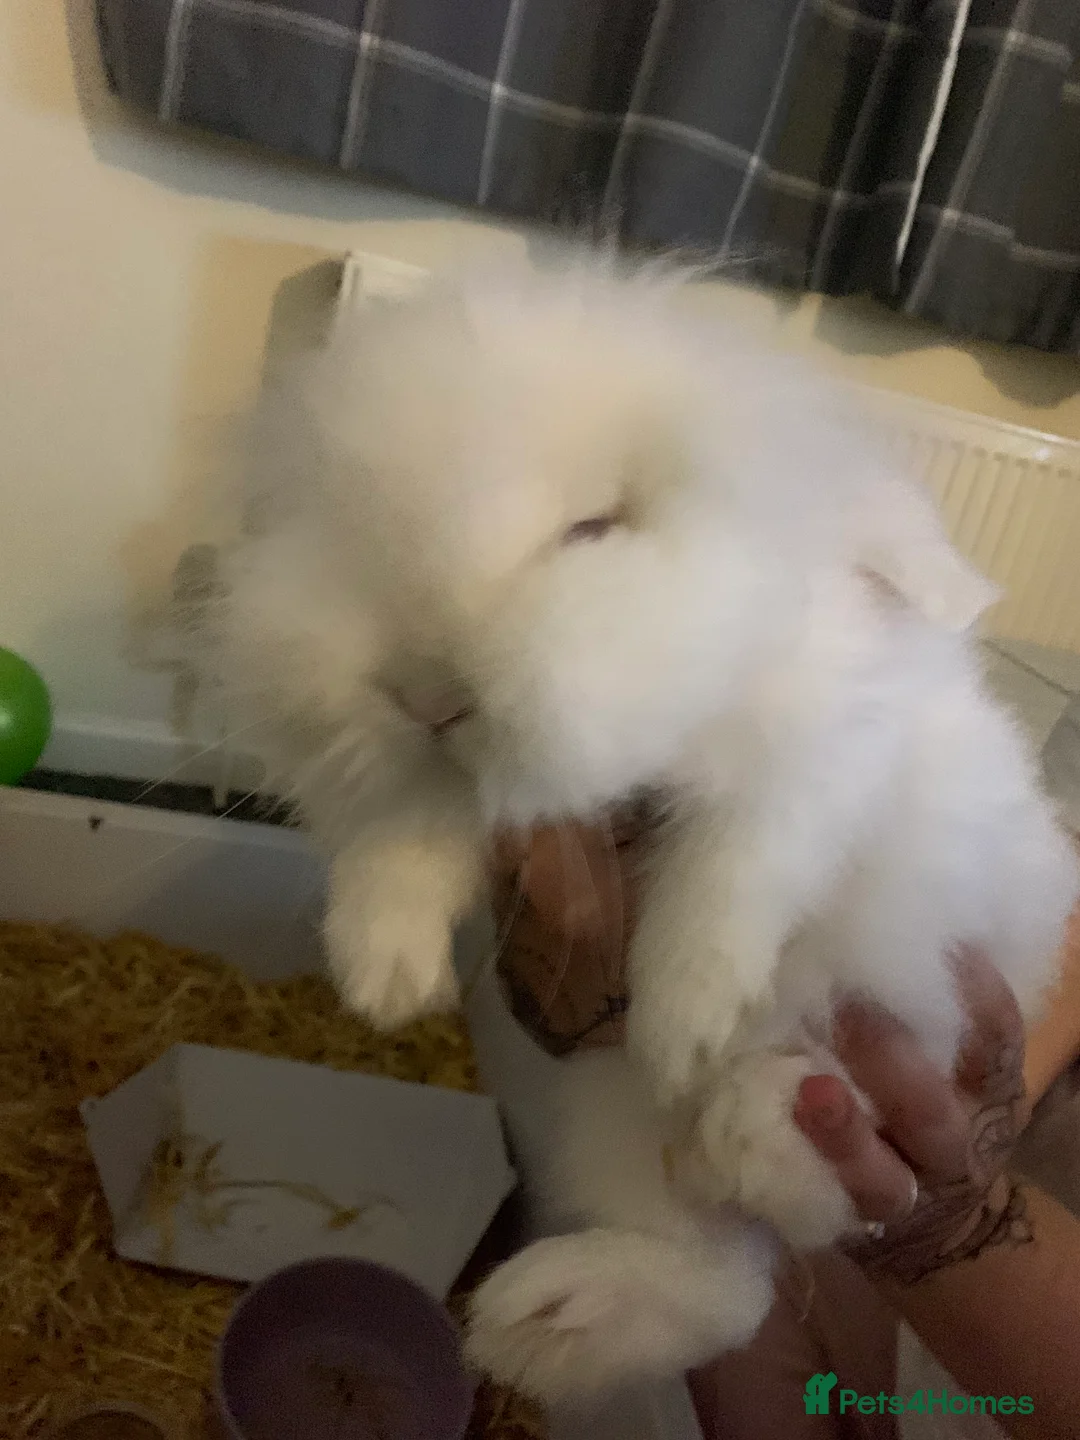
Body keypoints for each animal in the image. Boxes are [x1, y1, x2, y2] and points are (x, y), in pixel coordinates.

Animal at [205, 253, 1080, 1405]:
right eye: (352, 523)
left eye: (595, 530)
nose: (424, 693)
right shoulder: (457, 797)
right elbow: (412, 839)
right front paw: (383, 977)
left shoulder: (822, 756)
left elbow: (737, 868)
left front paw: (686, 1021)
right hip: (603, 1120)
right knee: (730, 1280)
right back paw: (548, 1321)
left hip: (916, 986)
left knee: (814, 1192)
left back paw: (758, 1124)